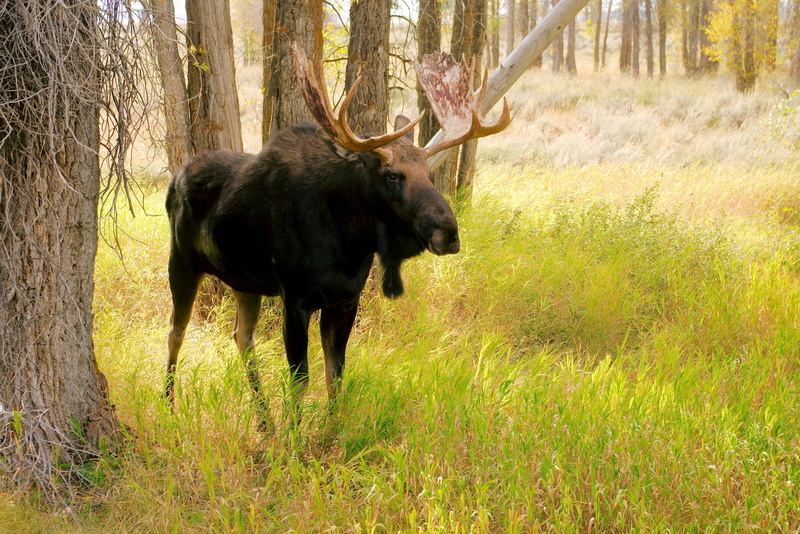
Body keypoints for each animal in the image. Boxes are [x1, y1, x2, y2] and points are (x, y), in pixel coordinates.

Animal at [164, 46, 512, 429]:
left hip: (244, 282)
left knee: (242, 337)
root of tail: (174, 179)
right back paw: (170, 407)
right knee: (175, 333)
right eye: (392, 175)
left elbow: (336, 373)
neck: (348, 243)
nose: (448, 232)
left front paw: (331, 431)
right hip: (181, 263)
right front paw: (295, 436)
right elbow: (300, 378)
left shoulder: (346, 299)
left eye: (429, 173)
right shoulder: (295, 298)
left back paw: (265, 422)